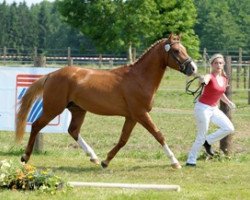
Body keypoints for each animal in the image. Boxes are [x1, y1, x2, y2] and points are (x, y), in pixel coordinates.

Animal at [16, 34, 197, 169]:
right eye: (176, 50)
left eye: (184, 49)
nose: (193, 68)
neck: (139, 78)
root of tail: (51, 74)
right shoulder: (141, 114)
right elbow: (158, 135)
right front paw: (175, 162)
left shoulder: (132, 117)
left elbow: (123, 140)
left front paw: (105, 161)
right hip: (53, 108)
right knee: (36, 125)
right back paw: (25, 157)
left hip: (78, 110)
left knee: (73, 131)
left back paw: (94, 158)